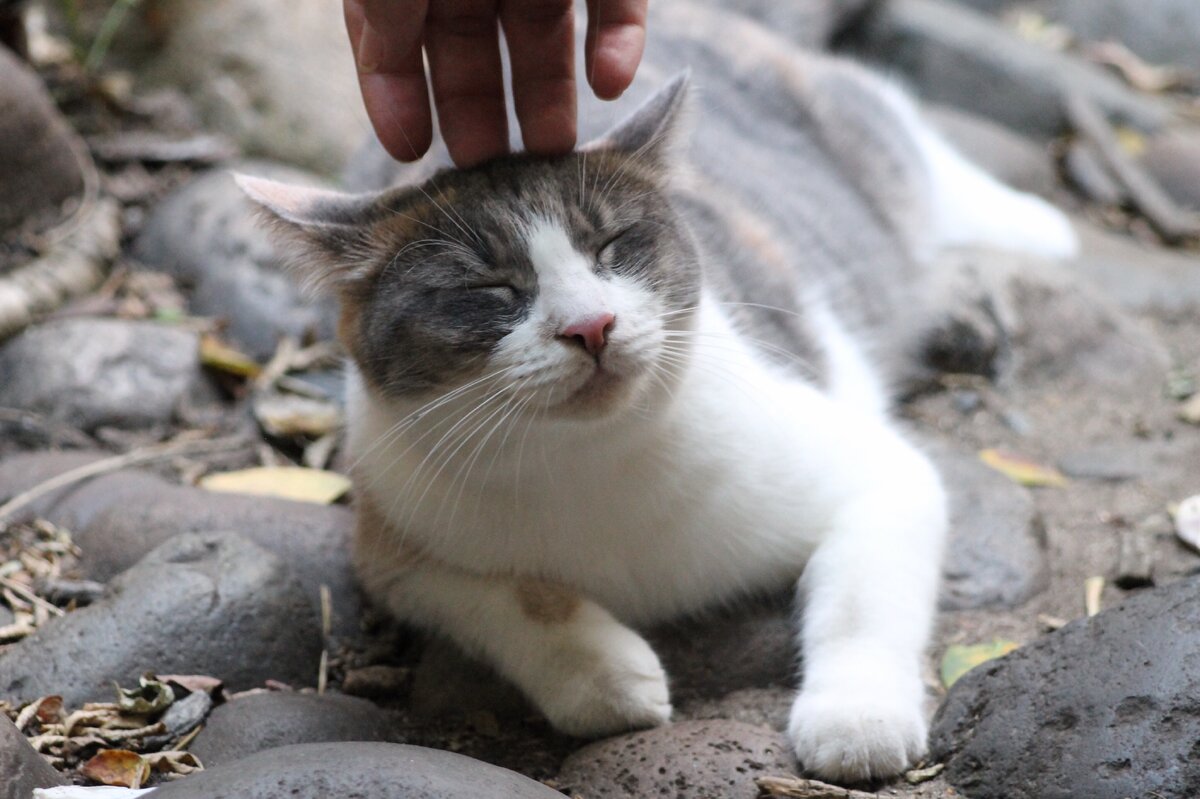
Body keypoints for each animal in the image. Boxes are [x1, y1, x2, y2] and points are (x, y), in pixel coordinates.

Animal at [231, 4, 1070, 777]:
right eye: (491, 290)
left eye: (612, 247)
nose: (591, 325)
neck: (596, 464)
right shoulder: (393, 549)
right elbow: (511, 593)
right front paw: (604, 676)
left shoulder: (884, 475)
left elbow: (863, 597)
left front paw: (855, 718)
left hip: (869, 149)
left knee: (918, 154)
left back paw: (1030, 240)